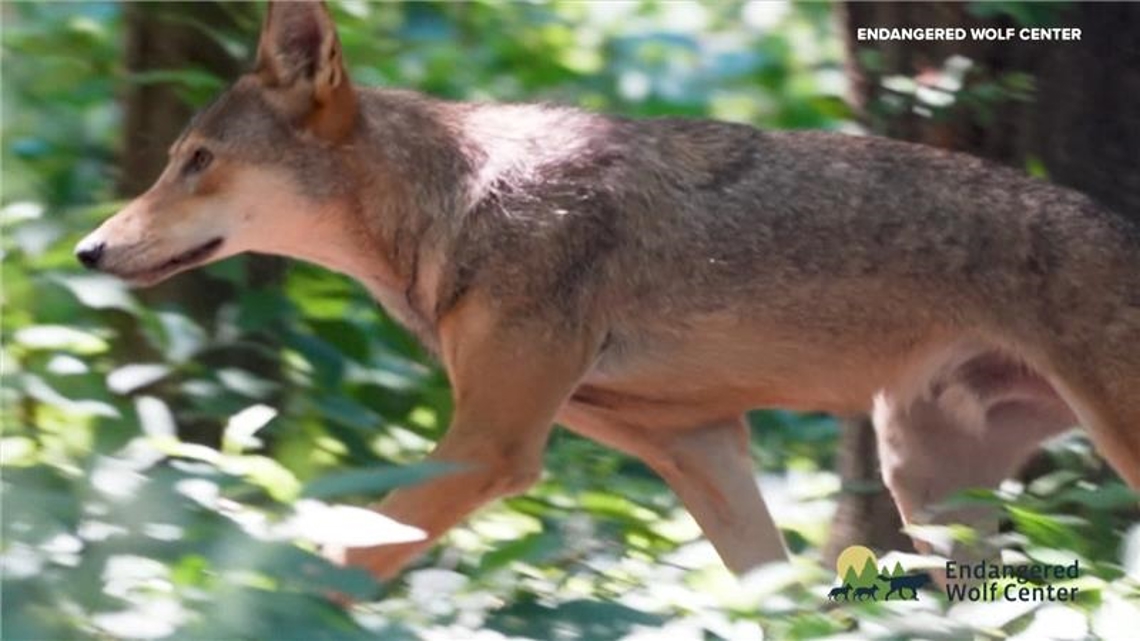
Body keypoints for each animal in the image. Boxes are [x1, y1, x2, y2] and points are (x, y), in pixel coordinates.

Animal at [76, 1, 1140, 581]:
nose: (87, 251)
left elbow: (341, 558)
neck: (452, 206)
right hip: (923, 481)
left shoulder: (491, 447)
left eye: (197, 160)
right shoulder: (699, 446)